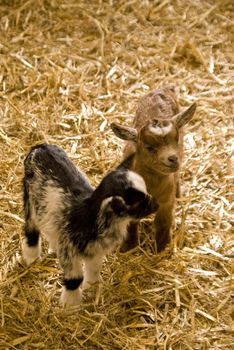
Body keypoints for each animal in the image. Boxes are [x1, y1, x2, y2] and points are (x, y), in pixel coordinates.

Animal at [22, 144, 158, 304]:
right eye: (137, 203)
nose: (156, 205)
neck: (90, 218)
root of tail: (41, 147)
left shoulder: (95, 250)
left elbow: (93, 271)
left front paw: (92, 291)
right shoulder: (69, 249)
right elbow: (75, 279)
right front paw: (71, 303)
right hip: (30, 198)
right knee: (31, 227)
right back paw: (31, 256)